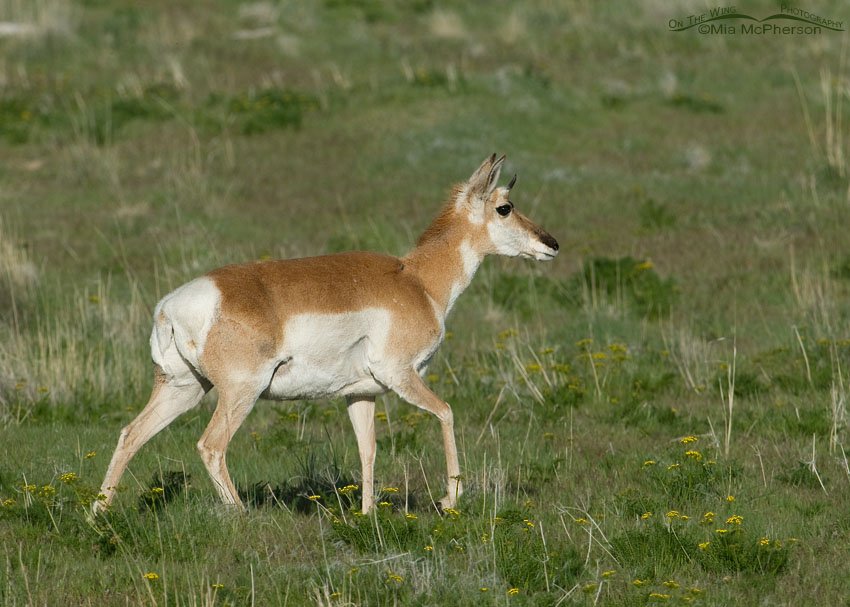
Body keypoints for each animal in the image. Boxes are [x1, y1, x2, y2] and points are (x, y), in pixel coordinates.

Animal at [94, 153, 559, 515]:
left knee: (131, 434)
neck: (418, 280)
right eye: (505, 206)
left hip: (183, 388)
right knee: (210, 446)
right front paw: (450, 500)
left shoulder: (362, 394)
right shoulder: (402, 376)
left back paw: (99, 513)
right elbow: (446, 412)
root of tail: (172, 306)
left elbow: (368, 450)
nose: (552, 244)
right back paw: (242, 514)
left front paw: (368, 515)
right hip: (239, 393)